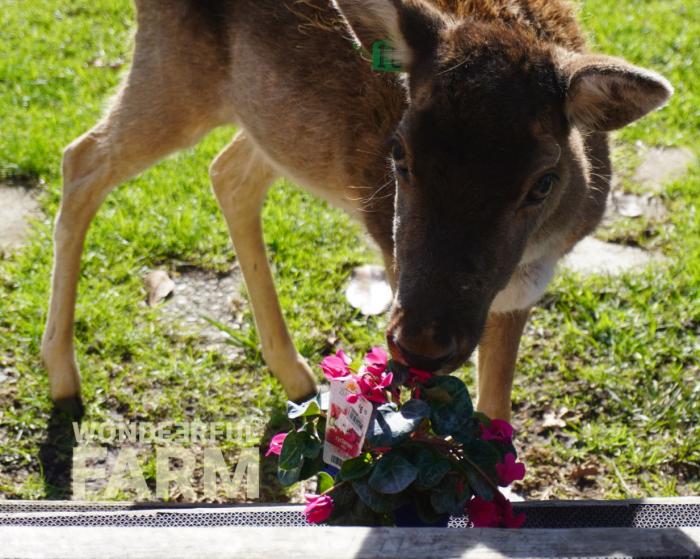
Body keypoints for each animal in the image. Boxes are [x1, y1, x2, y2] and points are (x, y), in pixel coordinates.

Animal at [39, 0, 672, 420]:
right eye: (399, 153)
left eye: (542, 182)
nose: (422, 342)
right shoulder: (389, 248)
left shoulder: (526, 287)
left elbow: (496, 412)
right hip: (174, 67)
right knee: (80, 158)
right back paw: (63, 378)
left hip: (264, 111)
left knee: (227, 172)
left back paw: (296, 377)